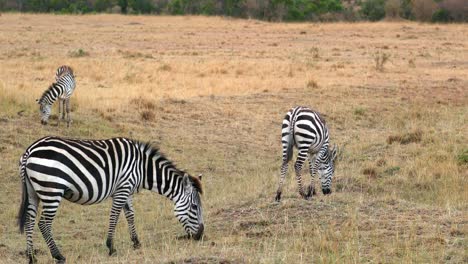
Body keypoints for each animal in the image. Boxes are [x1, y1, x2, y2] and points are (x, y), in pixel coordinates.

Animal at [17, 137, 204, 262]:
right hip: (52, 190)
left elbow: (130, 215)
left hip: (33, 191)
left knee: (29, 220)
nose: (200, 236)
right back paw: (58, 255)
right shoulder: (122, 189)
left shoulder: (127, 190)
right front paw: (111, 247)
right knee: (43, 223)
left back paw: (31, 256)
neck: (142, 168)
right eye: (195, 207)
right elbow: (115, 216)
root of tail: (29, 151)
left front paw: (136, 242)